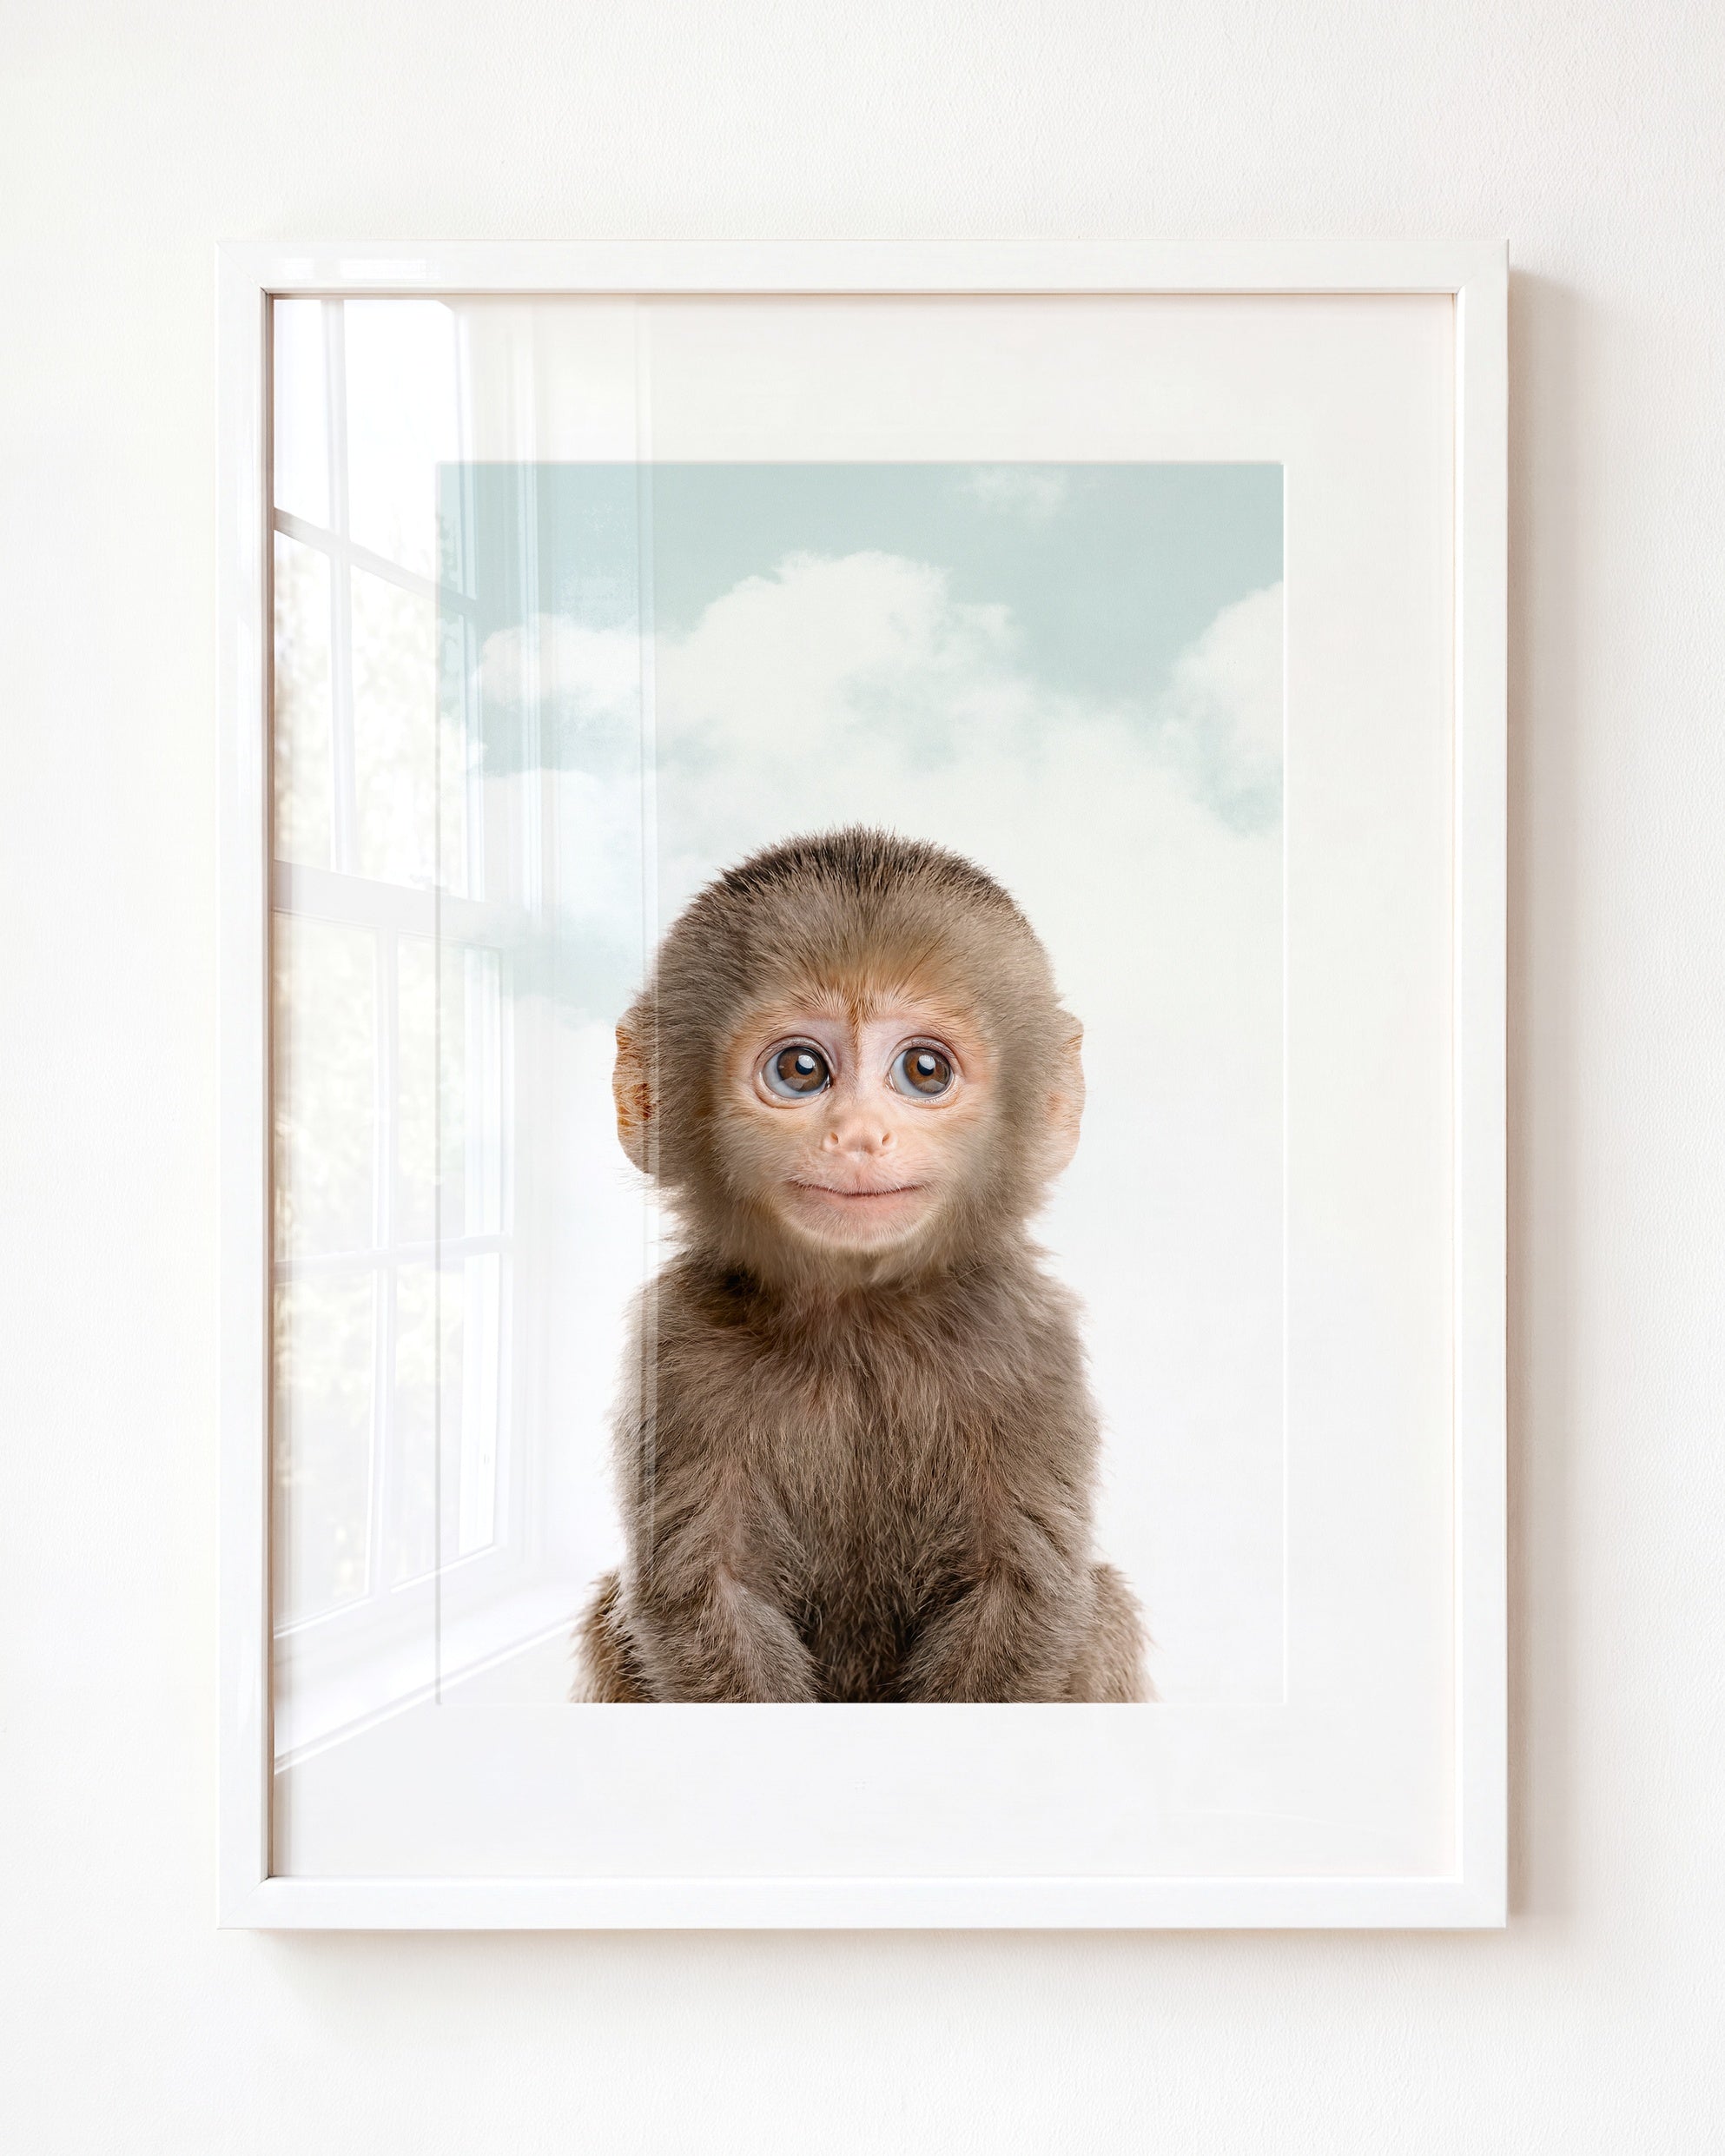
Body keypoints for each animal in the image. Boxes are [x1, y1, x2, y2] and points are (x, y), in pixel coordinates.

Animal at [573, 826, 1147, 1703]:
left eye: (924, 1070)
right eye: (801, 1069)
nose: (859, 1136)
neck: (859, 1320)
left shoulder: (1029, 1345)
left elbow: (1020, 1590)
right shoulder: (676, 1350)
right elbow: (704, 1594)